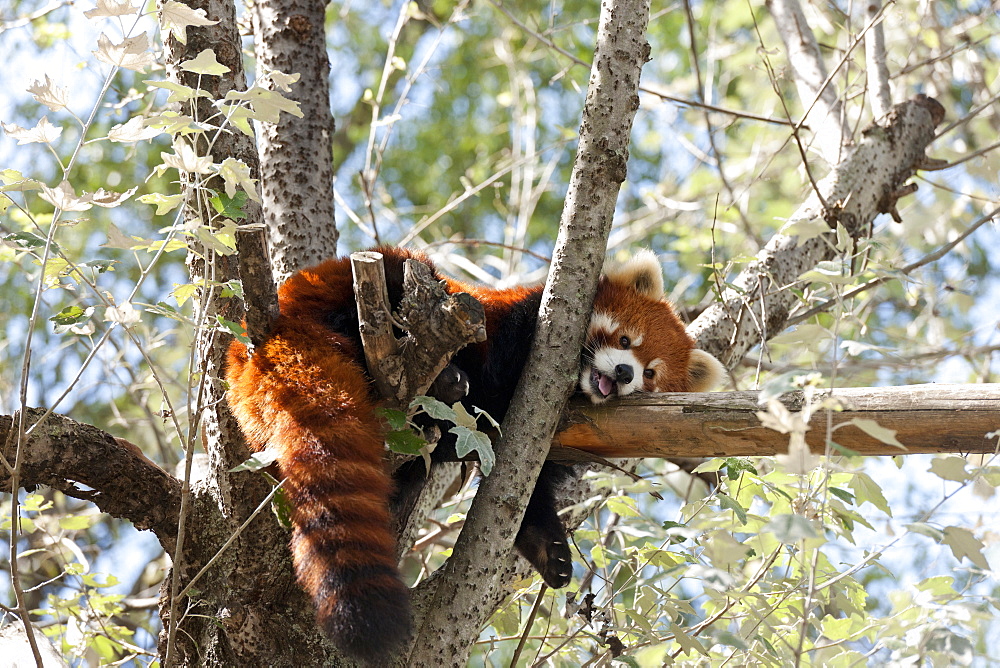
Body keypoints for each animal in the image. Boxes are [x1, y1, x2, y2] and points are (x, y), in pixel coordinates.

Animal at [224, 247, 724, 664]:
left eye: (651, 374)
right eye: (624, 340)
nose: (623, 373)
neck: (574, 391)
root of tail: (265, 324)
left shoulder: (545, 442)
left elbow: (530, 491)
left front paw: (548, 549)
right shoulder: (520, 328)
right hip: (372, 279)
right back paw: (441, 376)